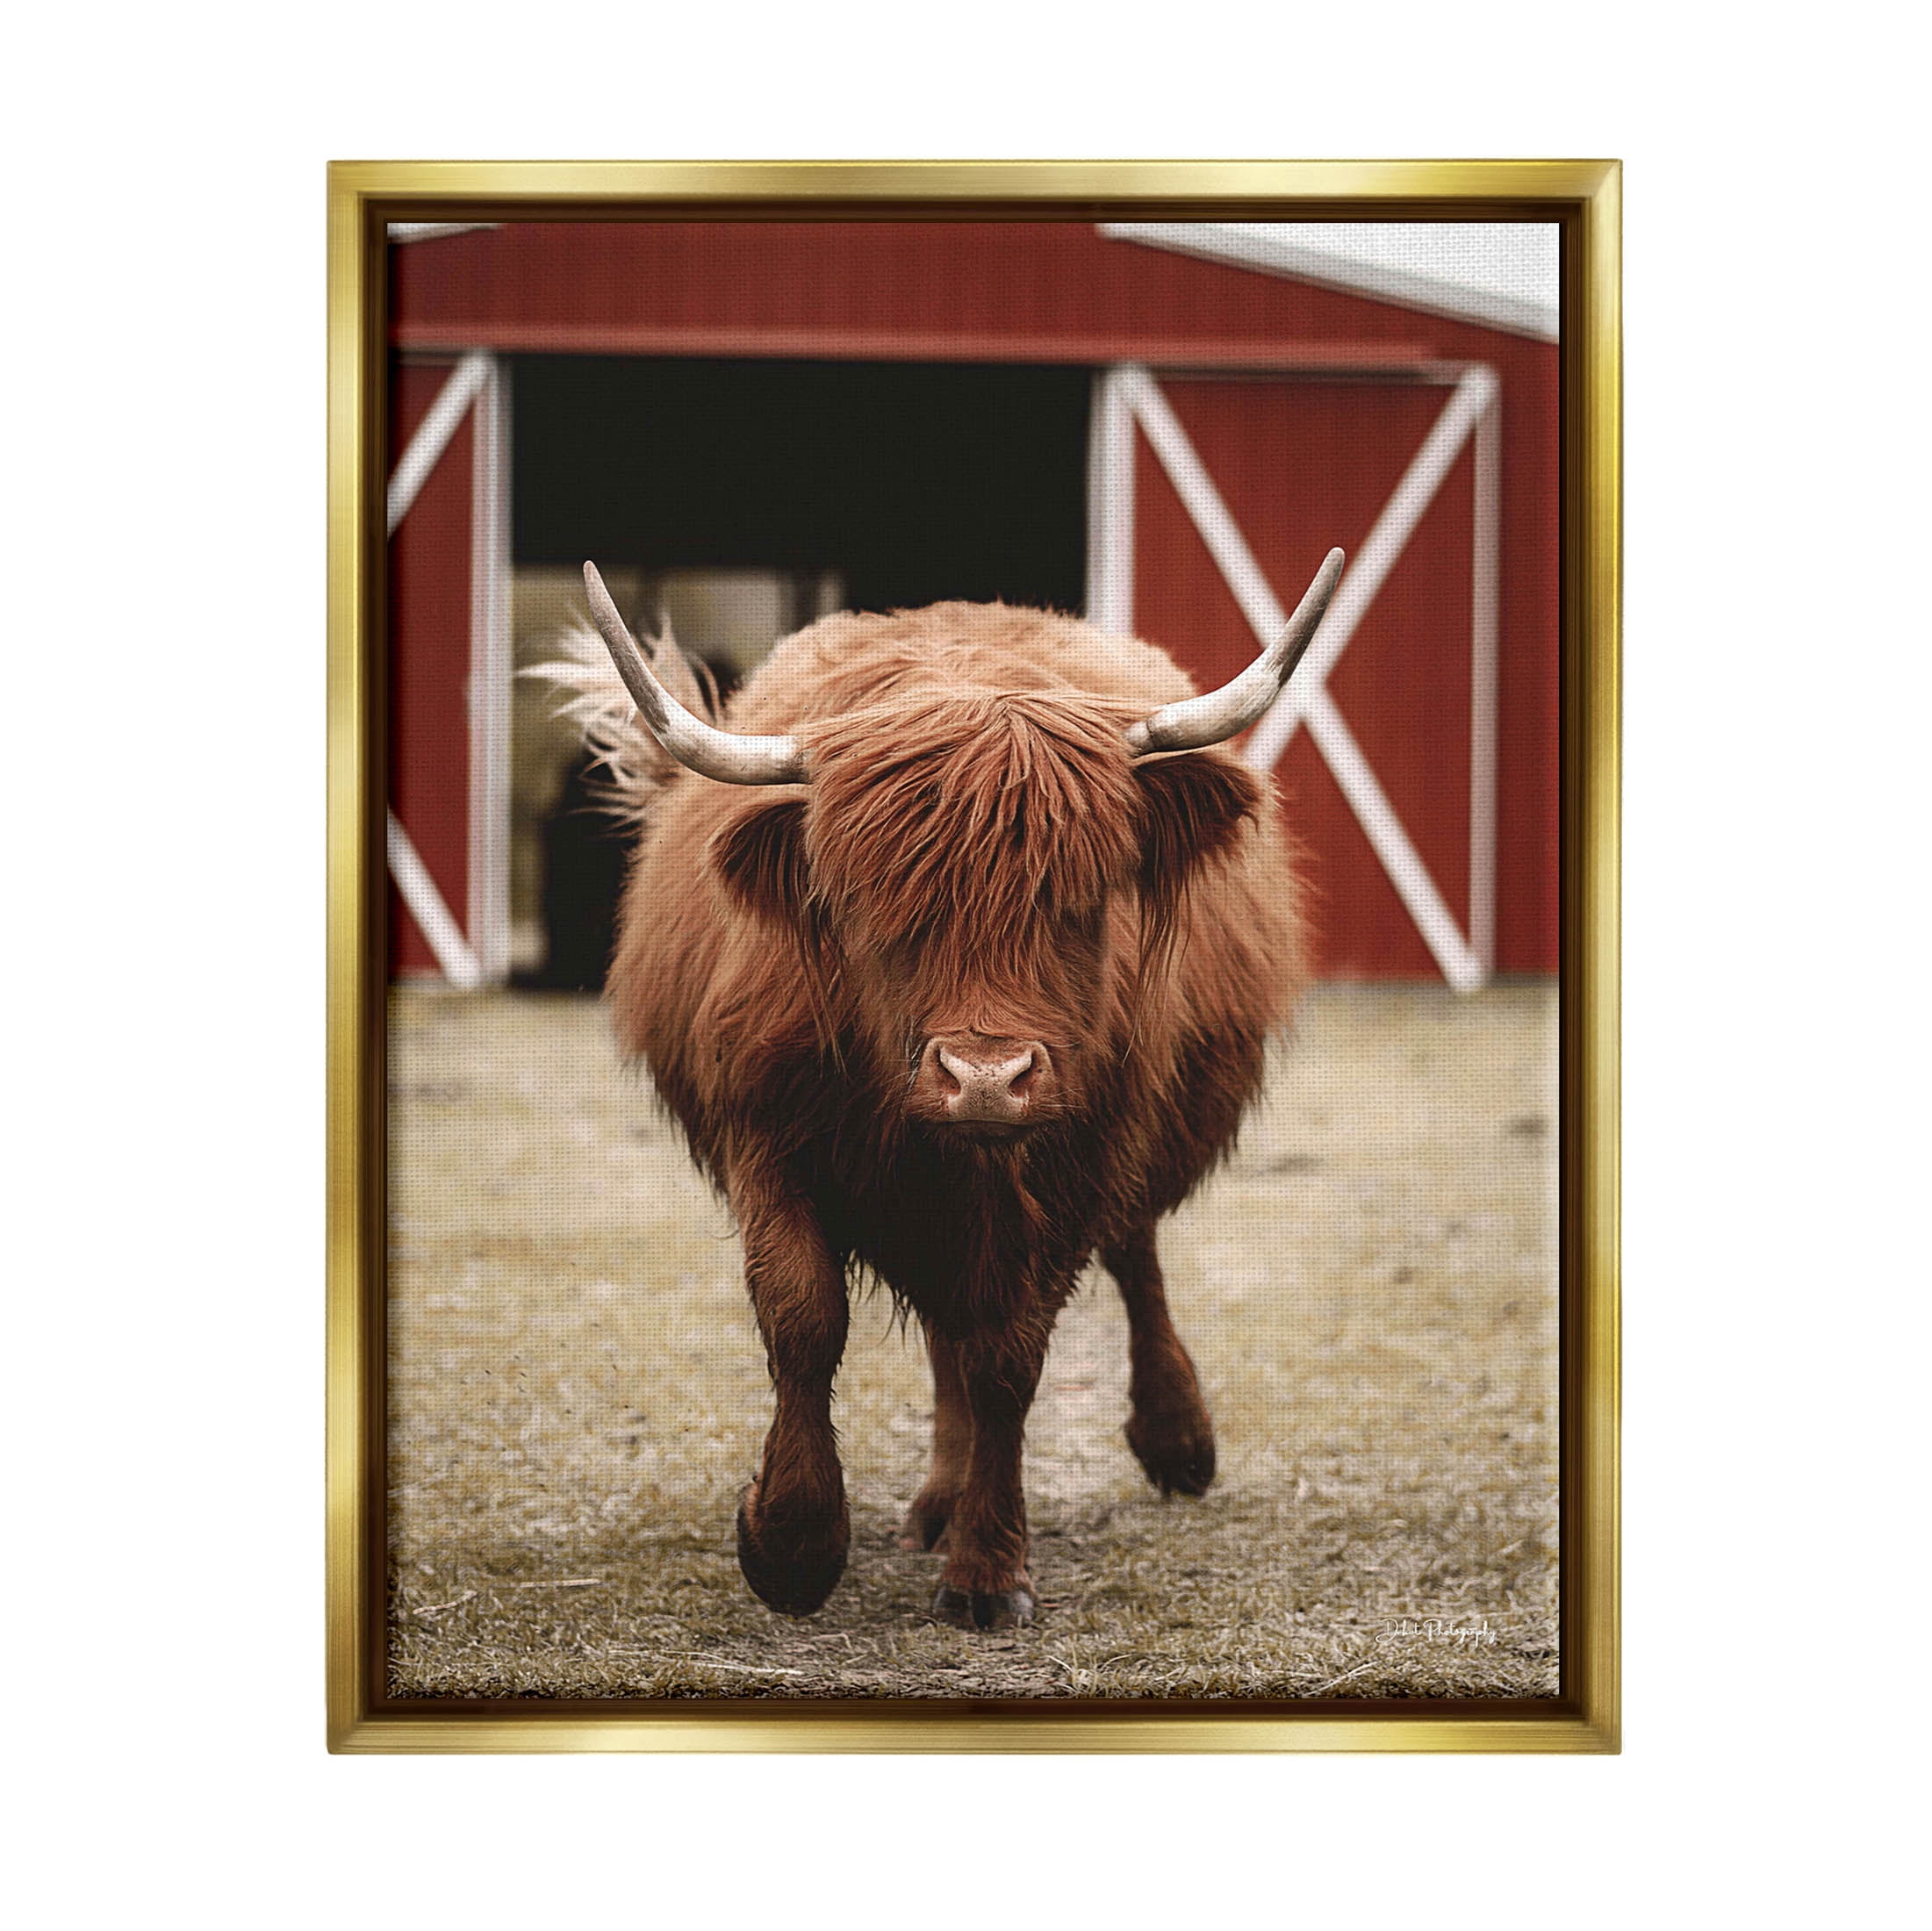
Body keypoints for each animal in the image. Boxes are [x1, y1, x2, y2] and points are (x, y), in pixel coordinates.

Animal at [544, 548, 1342, 1630]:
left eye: (1077, 901)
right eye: (876, 906)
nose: (985, 1079)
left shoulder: (1075, 1162)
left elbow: (1009, 1356)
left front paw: (988, 1572)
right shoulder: (765, 1130)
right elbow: (804, 1315)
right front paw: (790, 1545)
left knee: (1126, 1258)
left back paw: (1173, 1442)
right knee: (945, 1328)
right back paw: (933, 1501)